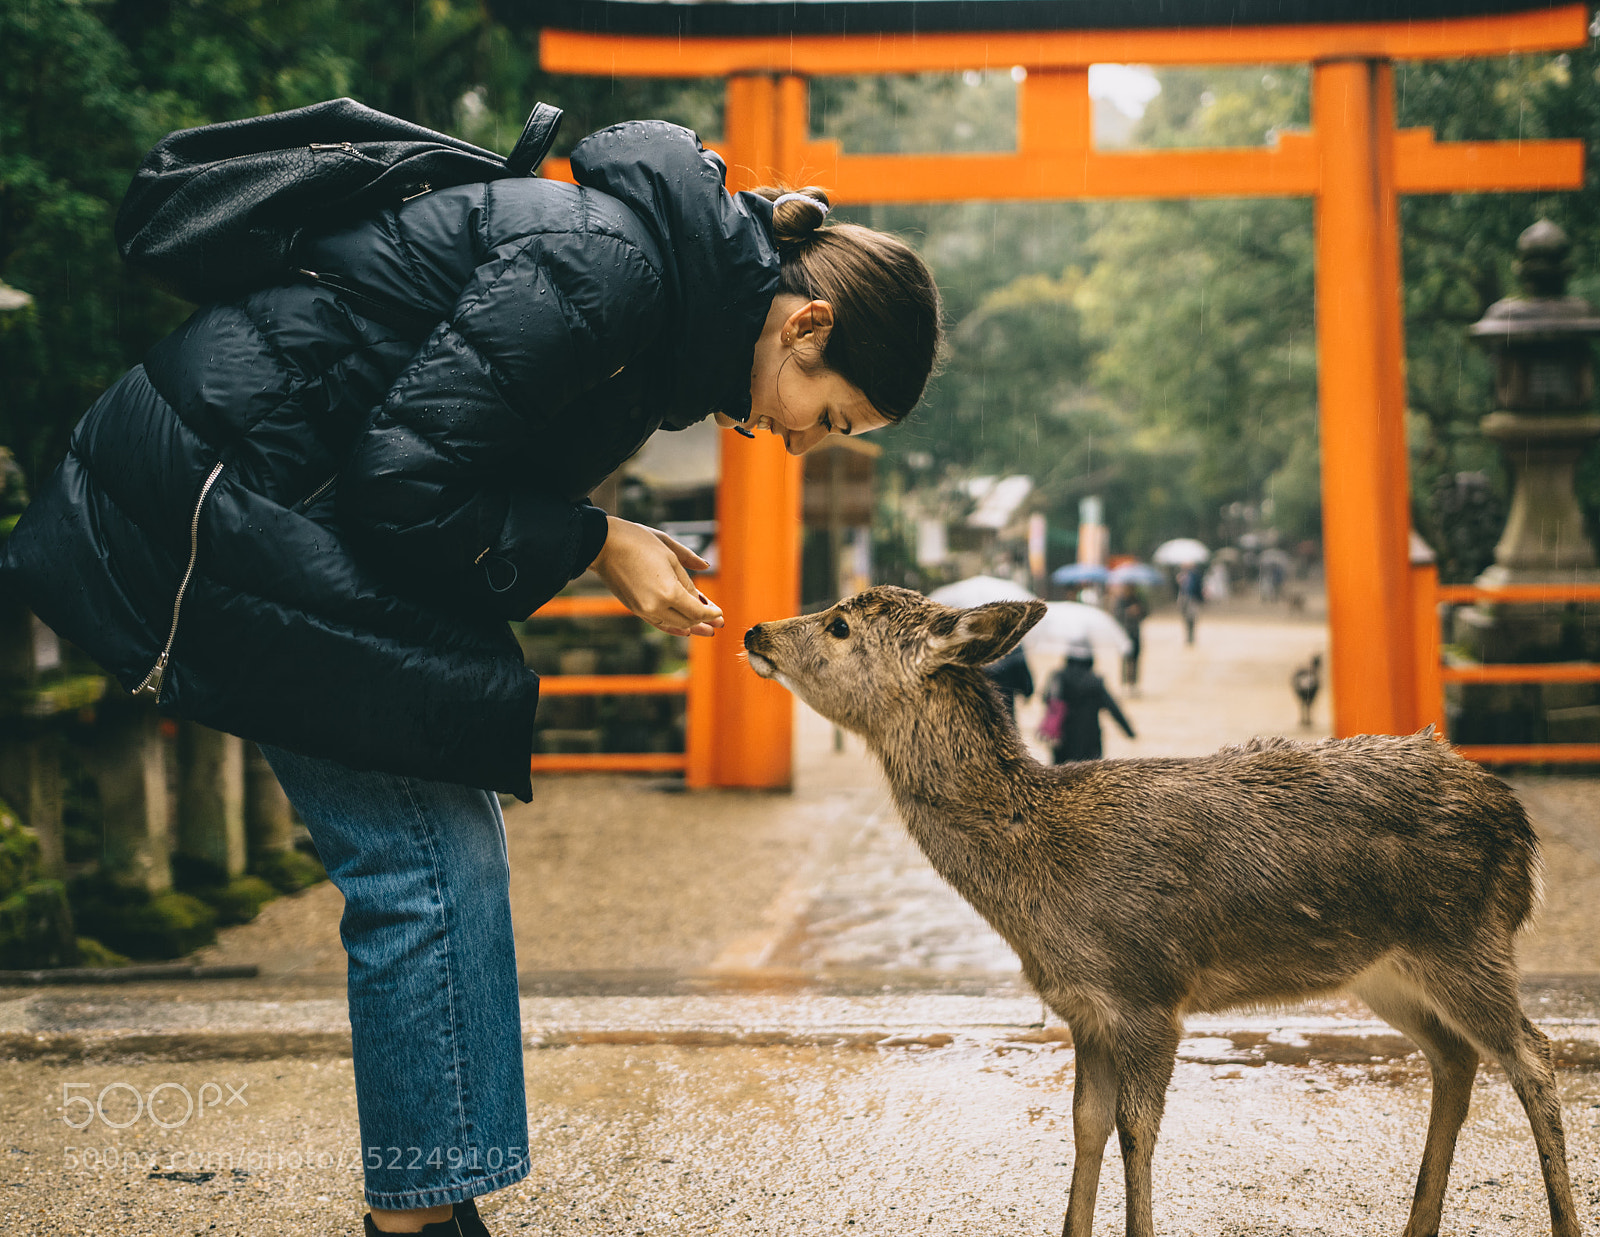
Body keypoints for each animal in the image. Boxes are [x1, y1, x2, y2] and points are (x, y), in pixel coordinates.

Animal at [743, 587, 1580, 1237]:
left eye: (840, 624)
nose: (754, 631)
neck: (1040, 877)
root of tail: (1519, 825)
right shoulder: (1085, 1007)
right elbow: (1083, 1124)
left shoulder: (1148, 991)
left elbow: (1134, 1130)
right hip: (1387, 968)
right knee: (1456, 1056)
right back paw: (1418, 1222)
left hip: (1467, 939)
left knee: (1533, 1054)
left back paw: (1562, 1219)